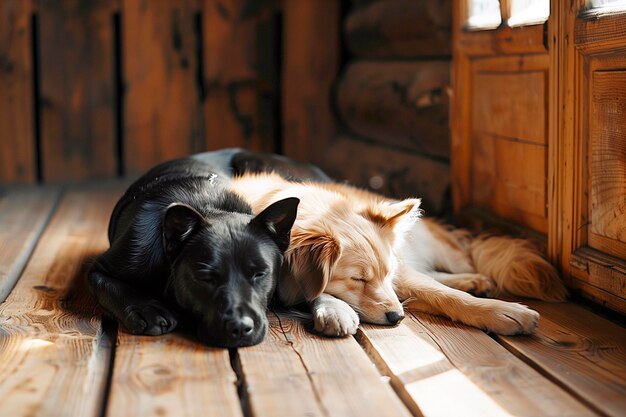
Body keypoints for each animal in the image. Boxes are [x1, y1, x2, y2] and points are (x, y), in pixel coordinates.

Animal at [87, 155, 298, 344]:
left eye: (260, 274)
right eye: (206, 278)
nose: (240, 327)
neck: (207, 206)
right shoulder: (103, 266)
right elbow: (108, 285)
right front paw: (146, 309)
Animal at [225, 171, 564, 336]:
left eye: (384, 274)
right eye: (357, 279)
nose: (397, 317)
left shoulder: (398, 274)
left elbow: (444, 295)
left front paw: (502, 312)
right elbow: (317, 292)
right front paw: (335, 310)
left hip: (439, 251)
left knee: (456, 262)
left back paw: (473, 279)